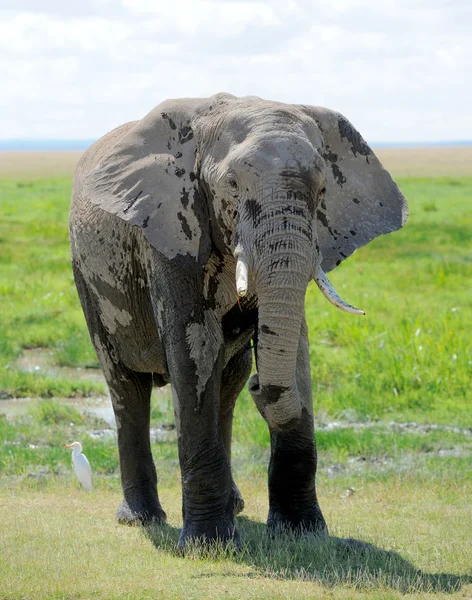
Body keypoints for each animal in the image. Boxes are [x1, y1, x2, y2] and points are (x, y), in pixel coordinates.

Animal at [70, 92, 410, 548]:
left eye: (323, 189)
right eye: (231, 185)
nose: (260, 388)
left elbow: (295, 344)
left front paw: (302, 532)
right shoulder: (173, 226)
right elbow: (194, 347)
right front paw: (206, 546)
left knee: (228, 384)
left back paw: (234, 504)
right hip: (88, 280)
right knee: (127, 387)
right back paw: (141, 519)